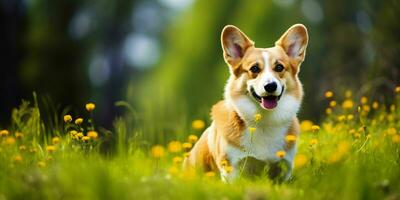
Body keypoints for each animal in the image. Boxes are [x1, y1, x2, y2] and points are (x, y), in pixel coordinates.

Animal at [184, 23, 310, 181]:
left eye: (279, 67)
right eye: (254, 68)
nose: (270, 86)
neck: (264, 121)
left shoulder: (285, 168)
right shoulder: (231, 169)